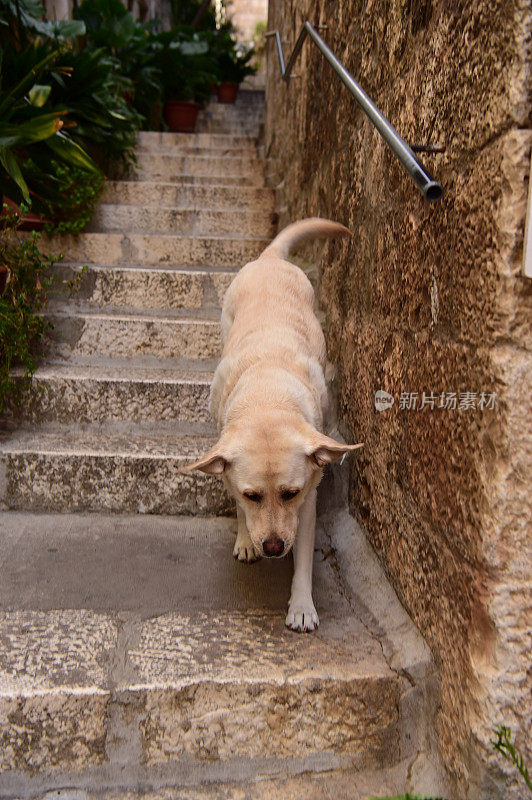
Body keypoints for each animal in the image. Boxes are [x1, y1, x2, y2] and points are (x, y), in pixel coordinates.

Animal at [182, 219, 362, 632]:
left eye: (290, 493)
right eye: (252, 495)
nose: (274, 547)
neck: (267, 394)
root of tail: (269, 258)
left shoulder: (308, 499)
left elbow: (305, 561)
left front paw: (302, 605)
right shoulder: (227, 467)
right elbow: (238, 506)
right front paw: (246, 539)